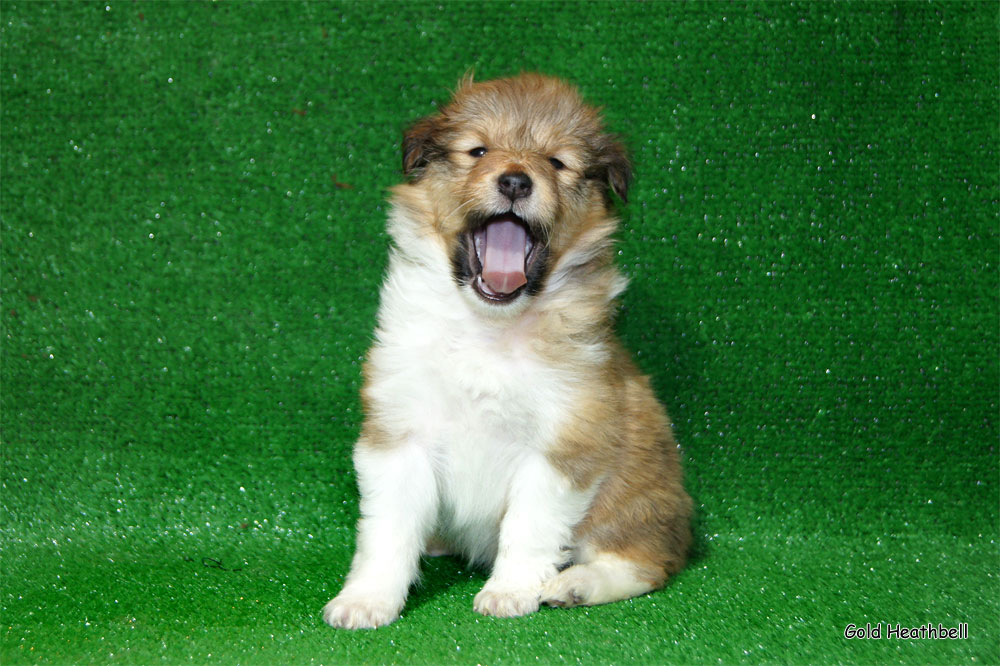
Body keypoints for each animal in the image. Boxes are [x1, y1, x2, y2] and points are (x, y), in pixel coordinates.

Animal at [324, 74, 692, 628]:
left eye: (557, 162)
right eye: (478, 150)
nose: (516, 181)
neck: (490, 328)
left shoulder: (563, 441)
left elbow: (529, 525)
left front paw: (509, 592)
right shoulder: (399, 430)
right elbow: (387, 529)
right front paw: (367, 600)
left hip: (633, 502)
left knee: (648, 562)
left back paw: (575, 584)